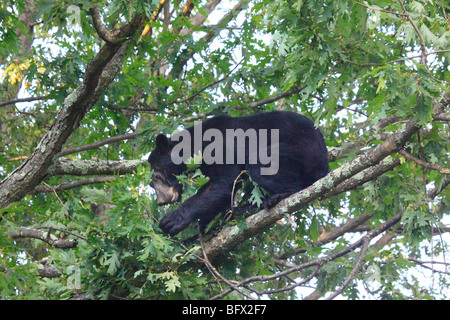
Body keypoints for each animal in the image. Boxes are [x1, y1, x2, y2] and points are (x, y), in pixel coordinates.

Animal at [148, 111, 326, 236]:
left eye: (156, 174)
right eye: (152, 182)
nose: (161, 199)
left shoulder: (220, 148)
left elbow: (224, 183)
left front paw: (172, 220)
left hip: (300, 147)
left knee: (260, 162)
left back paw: (277, 197)